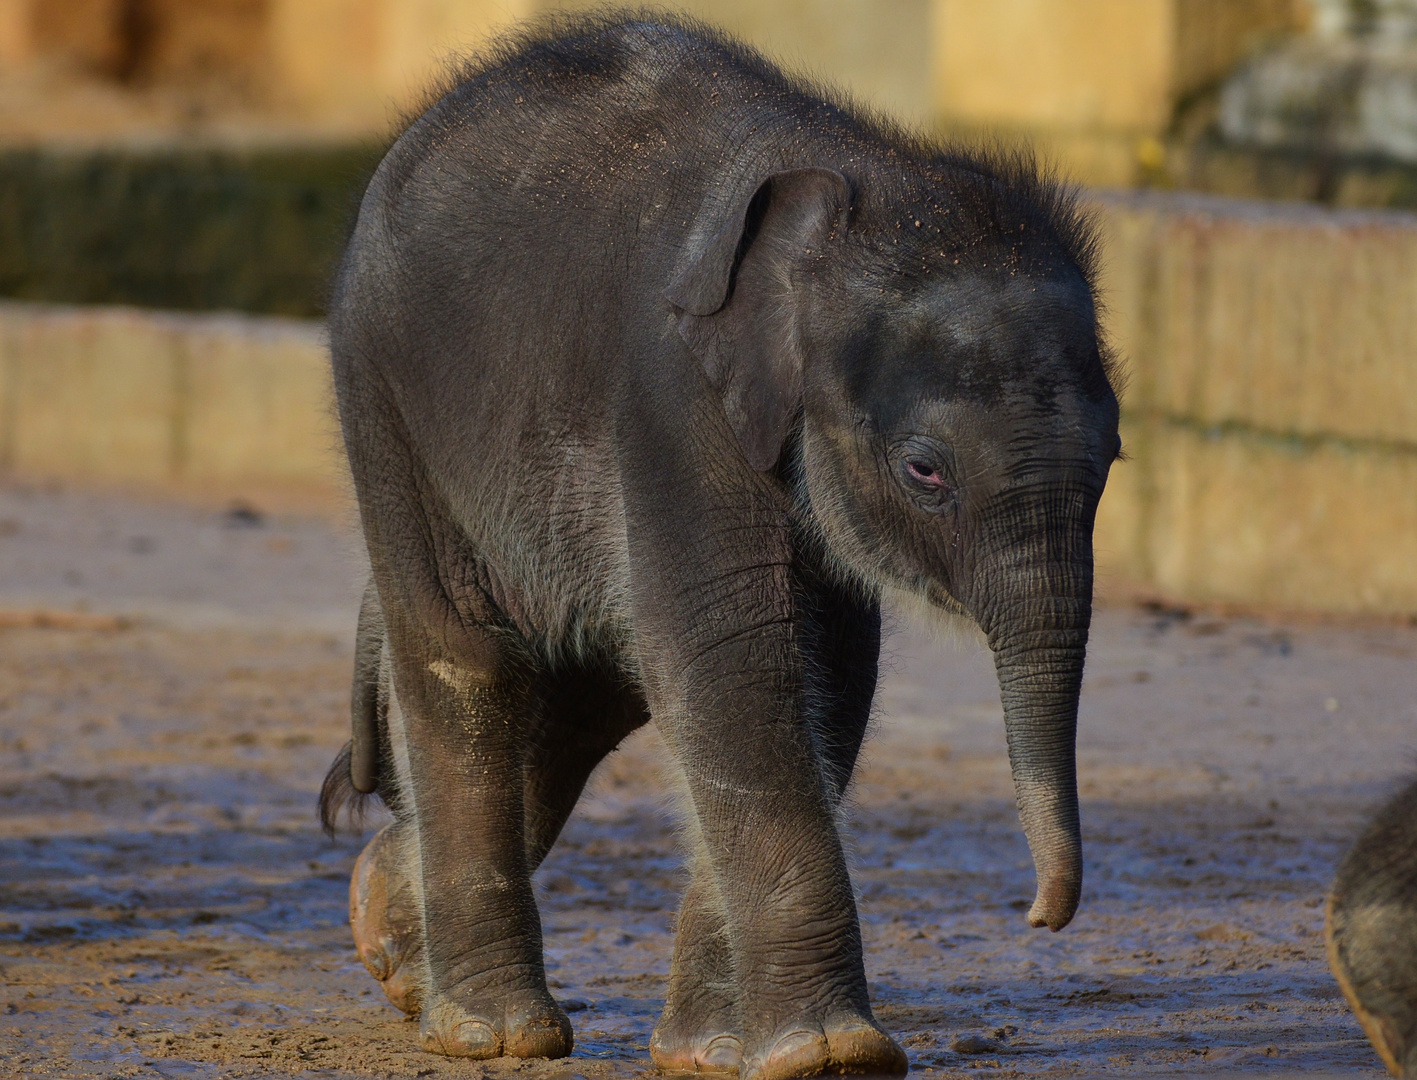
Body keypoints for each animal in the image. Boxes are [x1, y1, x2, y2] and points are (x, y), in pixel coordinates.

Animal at [318, 14, 1116, 1077]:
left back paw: (386, 931)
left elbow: (825, 677)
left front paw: (713, 1054)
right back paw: (495, 1034)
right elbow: (731, 657)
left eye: (1114, 457)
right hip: (383, 394)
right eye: (925, 472)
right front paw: (830, 1055)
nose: (1038, 917)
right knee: (470, 660)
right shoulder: (670, 393)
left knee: (587, 685)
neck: (861, 181)